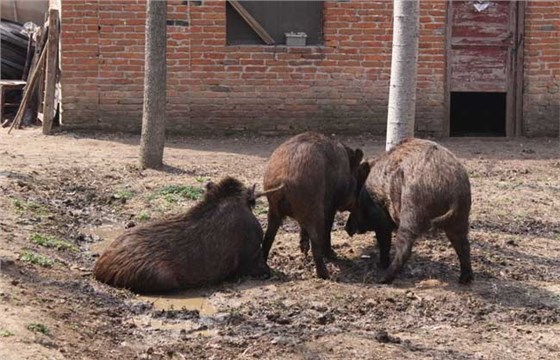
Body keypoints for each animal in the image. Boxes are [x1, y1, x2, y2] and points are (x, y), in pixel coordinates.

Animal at [262, 131, 364, 278]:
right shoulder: (330, 205)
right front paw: (332, 255)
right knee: (316, 239)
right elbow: (327, 228)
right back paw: (325, 274)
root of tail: (284, 180)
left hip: (273, 208)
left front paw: (304, 250)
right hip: (313, 208)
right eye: (357, 178)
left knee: (268, 237)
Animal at [346, 138, 472, 284]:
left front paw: (381, 265)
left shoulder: (382, 219)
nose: (346, 228)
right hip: (461, 216)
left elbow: (384, 241)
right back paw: (464, 279)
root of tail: (454, 189)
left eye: (355, 204)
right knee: (463, 244)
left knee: (405, 247)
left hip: (411, 210)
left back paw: (383, 279)